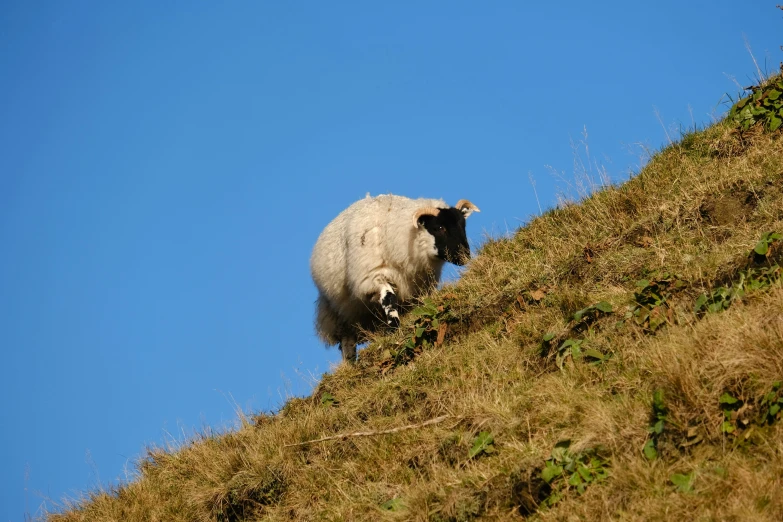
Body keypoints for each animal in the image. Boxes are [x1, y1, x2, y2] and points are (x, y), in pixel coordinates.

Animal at [310, 193, 480, 360]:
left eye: (463, 225)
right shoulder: (373, 277)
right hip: (340, 315)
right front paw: (394, 327)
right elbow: (389, 298)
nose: (464, 256)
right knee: (347, 342)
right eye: (439, 227)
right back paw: (351, 362)